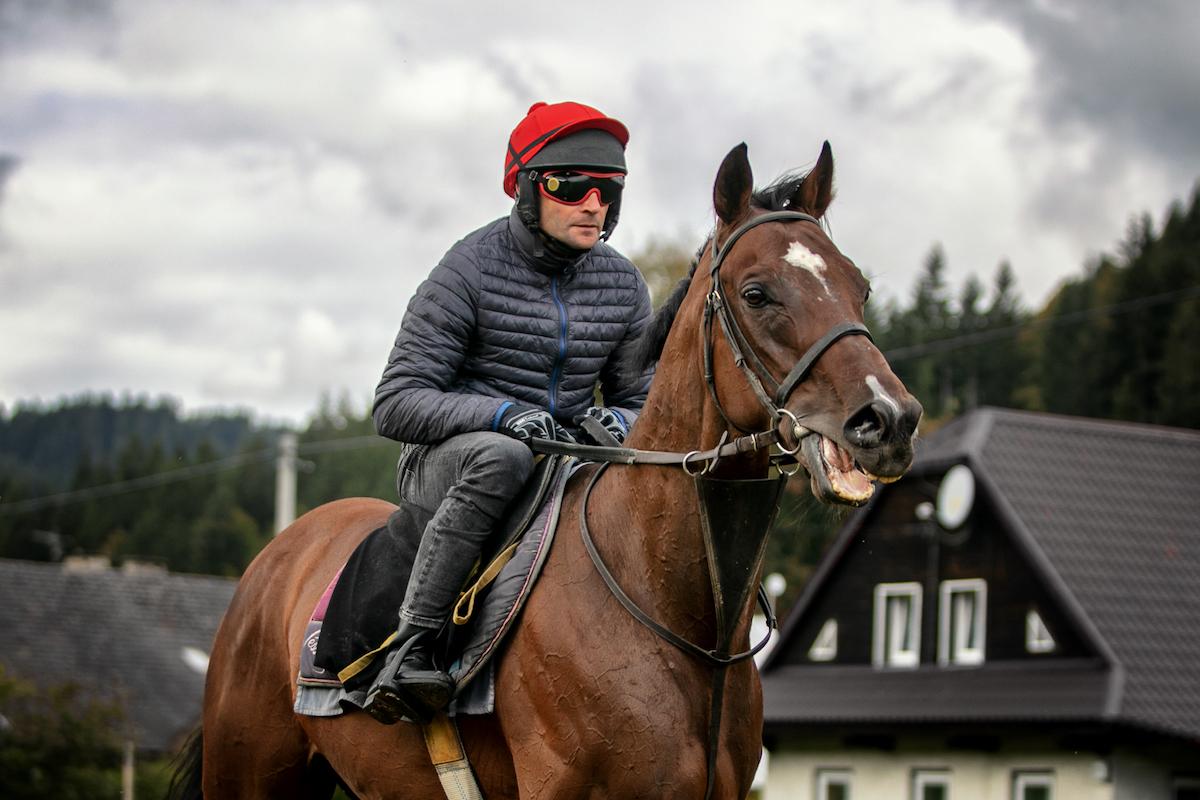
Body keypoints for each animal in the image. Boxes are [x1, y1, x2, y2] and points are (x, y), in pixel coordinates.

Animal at [177, 145, 916, 800]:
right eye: (757, 293)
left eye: (859, 286)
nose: (888, 419)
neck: (681, 619)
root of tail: (276, 558)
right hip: (248, 775)